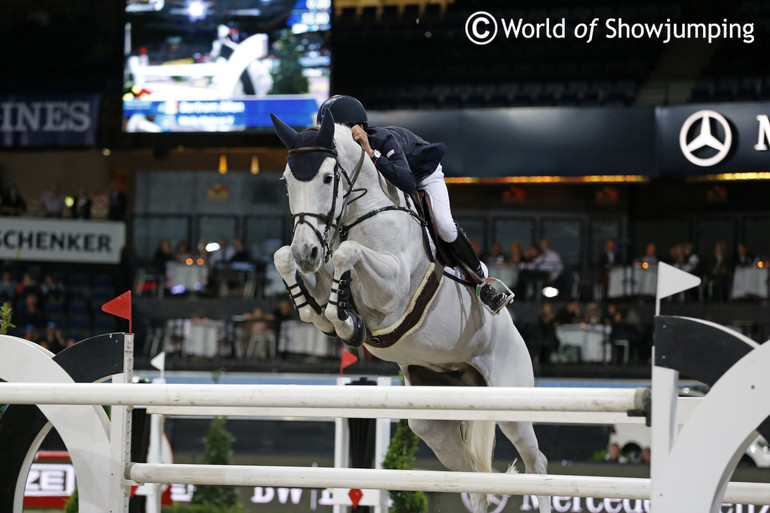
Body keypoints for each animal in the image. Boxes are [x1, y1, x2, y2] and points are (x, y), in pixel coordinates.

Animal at [272, 113, 548, 512]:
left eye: (326, 177)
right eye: (287, 181)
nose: (306, 252)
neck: (361, 213)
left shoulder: (395, 286)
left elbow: (347, 254)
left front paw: (346, 322)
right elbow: (289, 262)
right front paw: (333, 316)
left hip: (511, 402)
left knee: (536, 463)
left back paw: (491, 292)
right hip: (434, 419)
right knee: (476, 477)